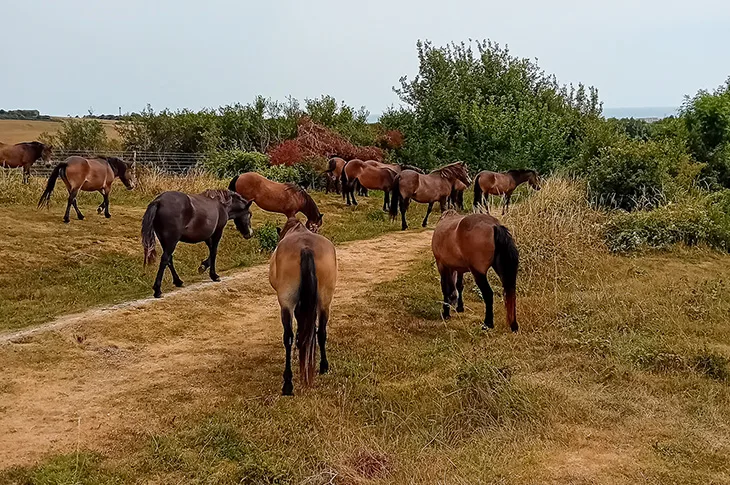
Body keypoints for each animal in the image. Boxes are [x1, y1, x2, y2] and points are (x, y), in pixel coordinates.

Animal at [270, 217, 337, 395]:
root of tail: (305, 248)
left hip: (285, 302)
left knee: (288, 337)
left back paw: (288, 383)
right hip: (325, 300)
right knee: (321, 332)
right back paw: (323, 366)